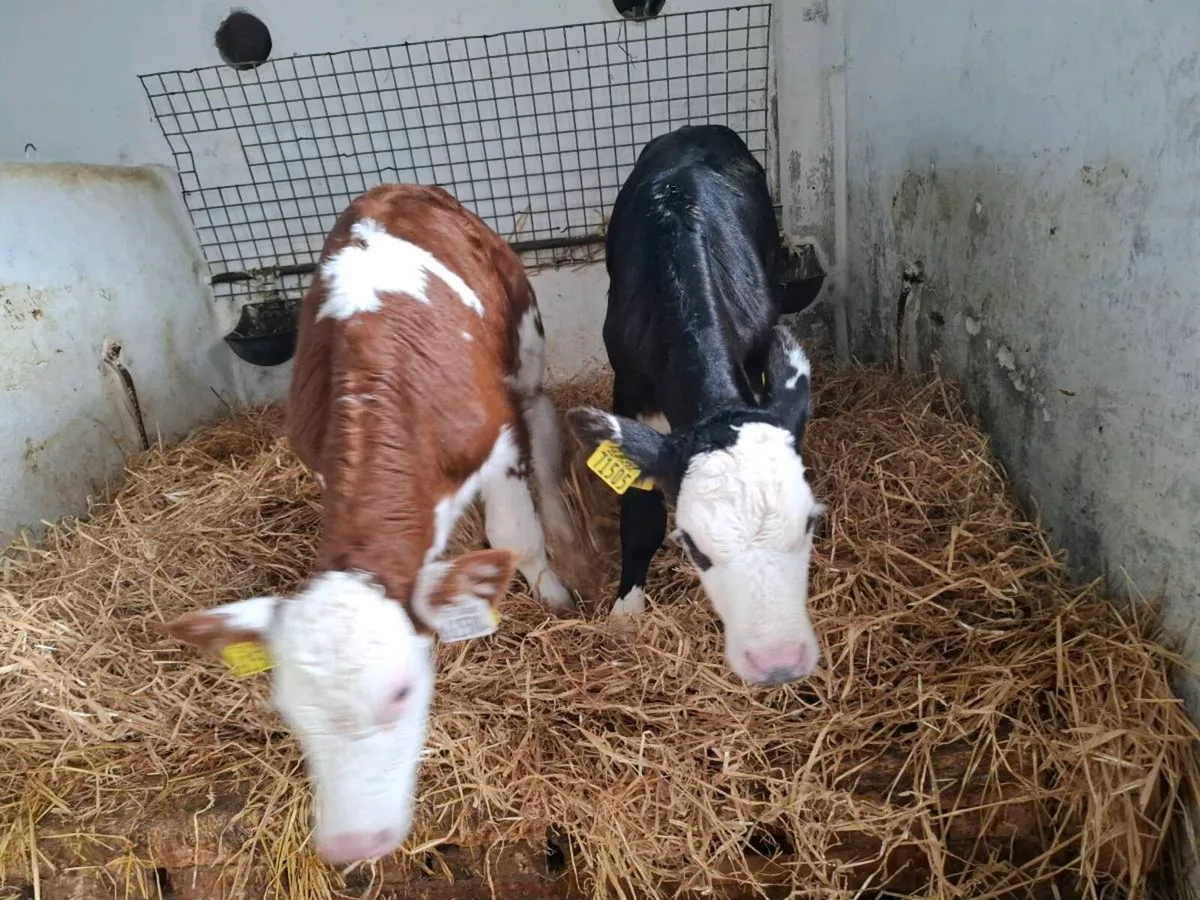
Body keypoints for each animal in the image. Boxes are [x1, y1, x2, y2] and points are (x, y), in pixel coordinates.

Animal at [164, 184, 577, 865]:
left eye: (402, 693)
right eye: (288, 710)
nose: (353, 842)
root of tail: (397, 189)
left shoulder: (496, 436)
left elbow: (518, 536)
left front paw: (555, 595)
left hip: (524, 337)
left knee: (541, 414)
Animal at [565, 124, 825, 687]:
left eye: (808, 523)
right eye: (694, 543)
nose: (777, 661)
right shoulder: (628, 391)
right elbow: (639, 512)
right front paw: (626, 610)